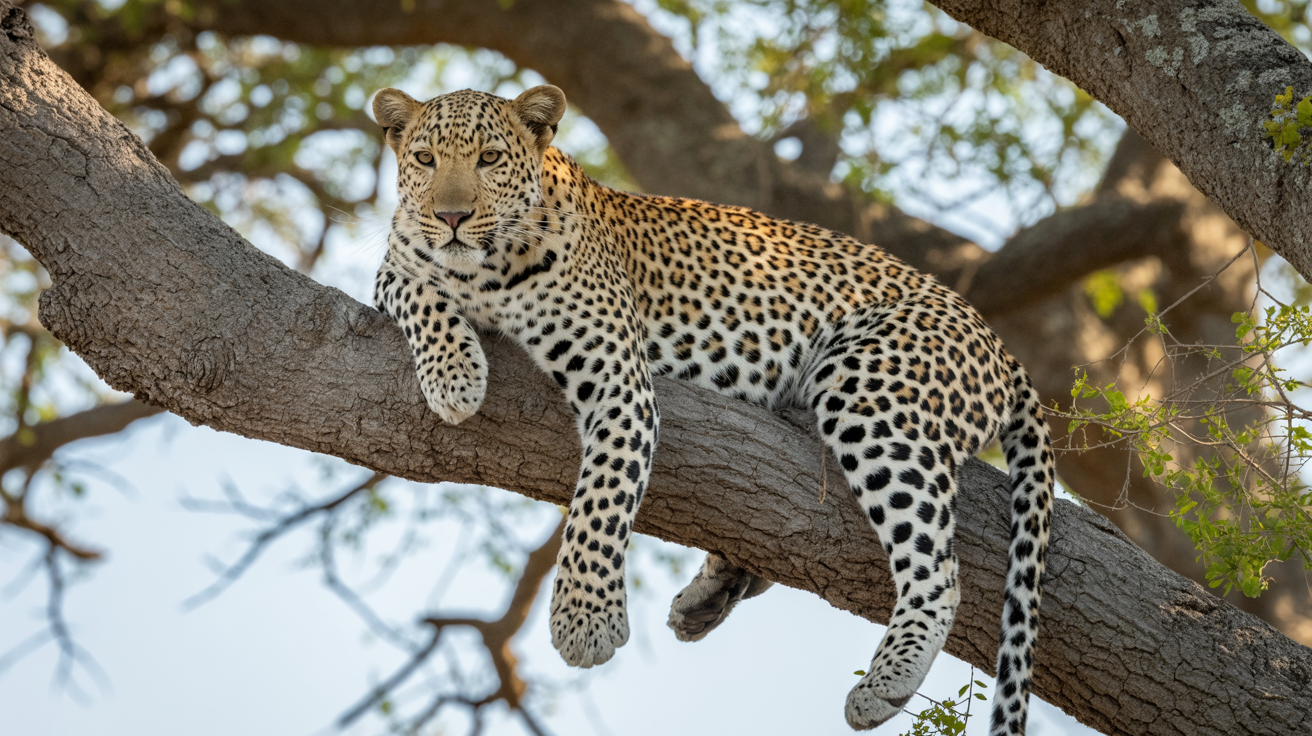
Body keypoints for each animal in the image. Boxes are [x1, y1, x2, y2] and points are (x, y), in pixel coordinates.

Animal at [370, 84, 1054, 735]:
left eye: (489, 159)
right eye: (425, 160)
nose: (451, 216)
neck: (483, 276)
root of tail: (995, 340)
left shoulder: (620, 380)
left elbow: (599, 505)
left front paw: (585, 620)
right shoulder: (393, 271)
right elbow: (416, 289)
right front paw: (455, 376)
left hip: (869, 389)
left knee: (939, 572)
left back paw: (885, 680)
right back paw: (711, 595)